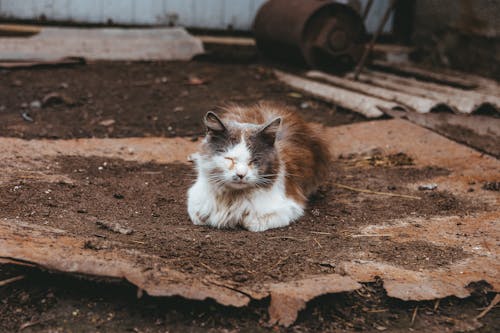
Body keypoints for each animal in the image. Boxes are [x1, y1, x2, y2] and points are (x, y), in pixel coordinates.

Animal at [186, 103, 330, 231]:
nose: (241, 174)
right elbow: (200, 216)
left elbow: (253, 222)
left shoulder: (289, 207)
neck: (233, 197)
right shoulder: (195, 204)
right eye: (229, 159)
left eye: (254, 160)